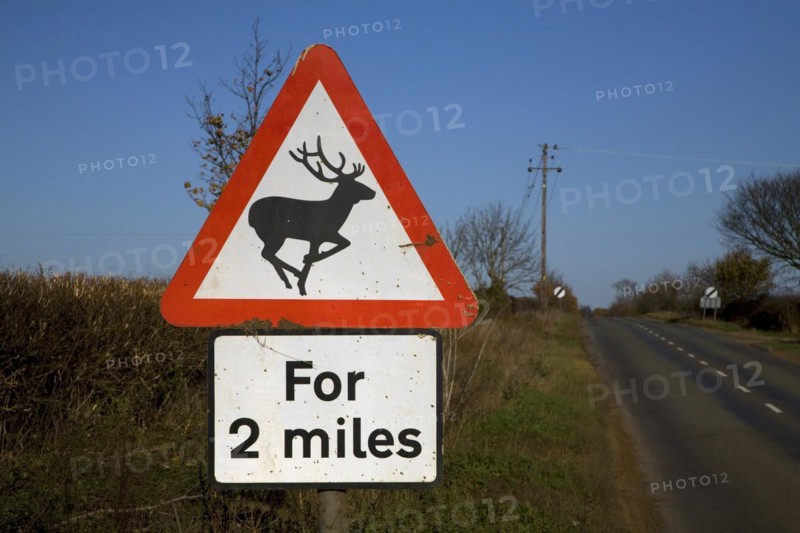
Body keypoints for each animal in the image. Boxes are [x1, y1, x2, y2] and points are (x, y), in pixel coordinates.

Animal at [248, 136, 376, 296]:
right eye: (355, 184)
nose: (373, 192)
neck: (335, 215)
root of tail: (250, 216)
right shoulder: (318, 235)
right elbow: (332, 249)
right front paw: (302, 281)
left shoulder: (325, 236)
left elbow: (345, 243)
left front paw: (302, 281)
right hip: (275, 233)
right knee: (266, 253)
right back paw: (293, 274)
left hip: (268, 235)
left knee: (268, 254)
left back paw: (288, 280)